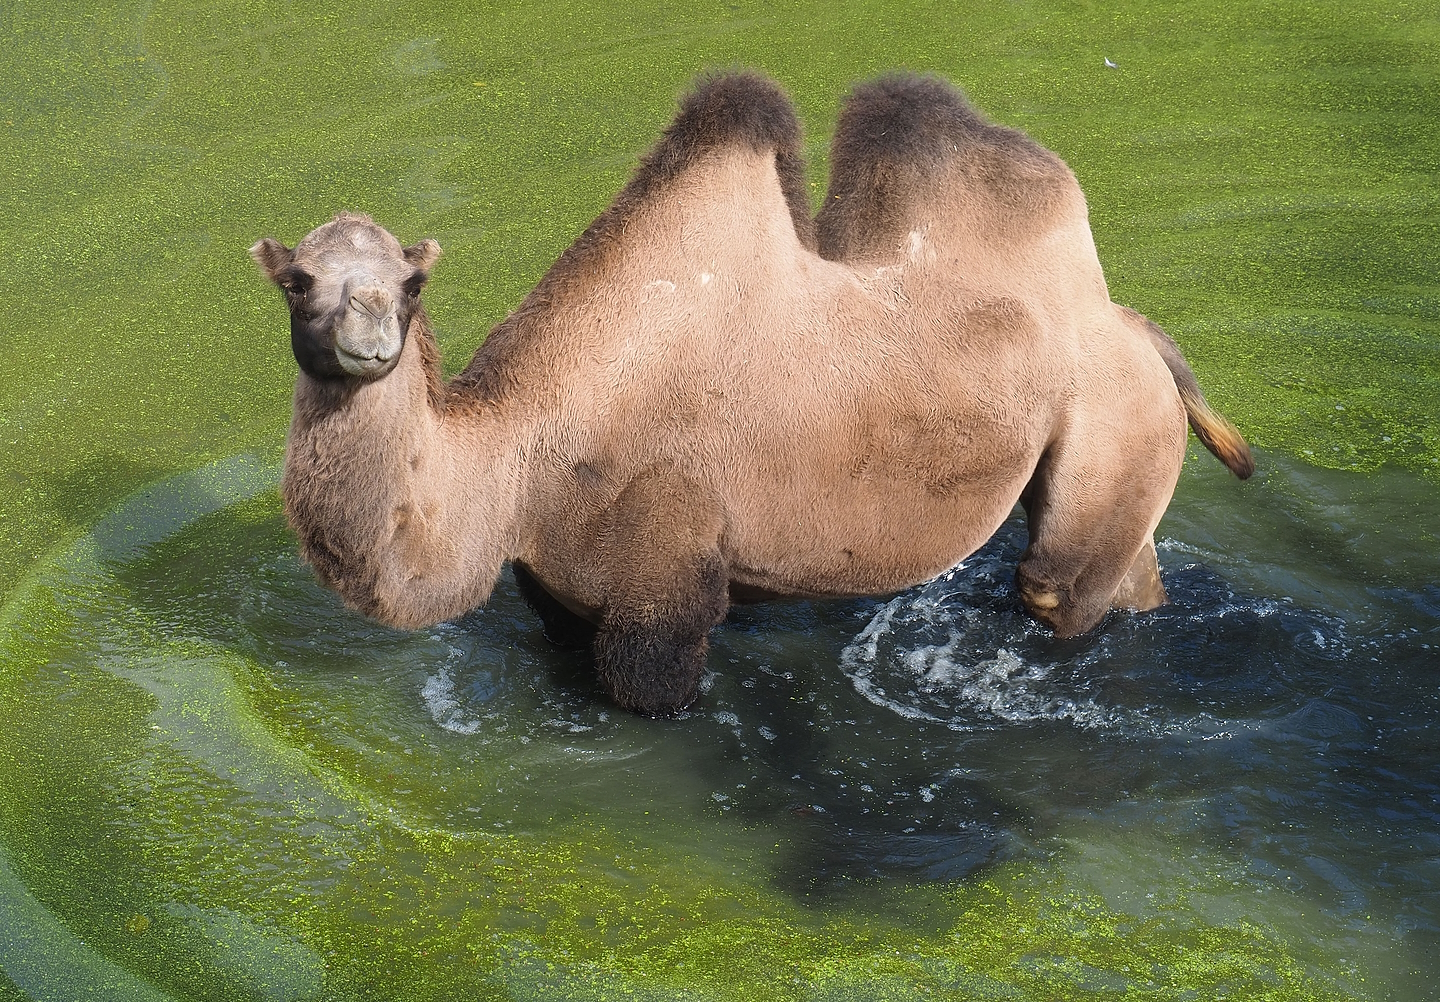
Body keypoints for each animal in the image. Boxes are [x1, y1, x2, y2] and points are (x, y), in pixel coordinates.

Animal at [251, 71, 1252, 716]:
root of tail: (1139, 328)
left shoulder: (659, 594)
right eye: (298, 282)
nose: (369, 335)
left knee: (1061, 589)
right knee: (1132, 575)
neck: (520, 457)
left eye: (410, 285)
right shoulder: (558, 596)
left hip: (1110, 425)